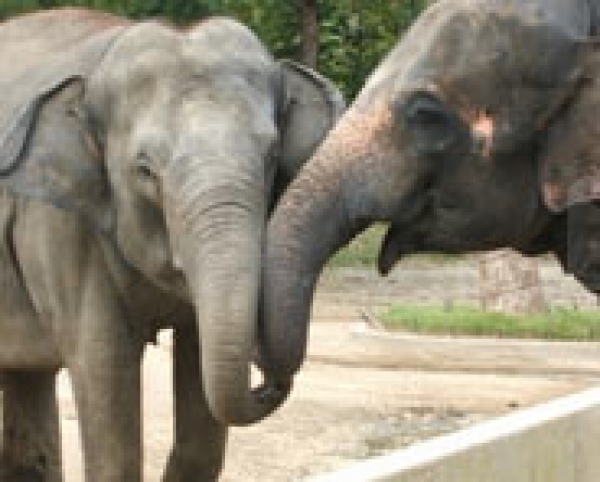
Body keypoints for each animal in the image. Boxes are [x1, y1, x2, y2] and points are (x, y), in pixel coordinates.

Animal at [0, 7, 342, 482]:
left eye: (273, 156)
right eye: (144, 169)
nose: (267, 381)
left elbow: (202, 429)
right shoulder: (60, 229)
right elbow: (104, 372)